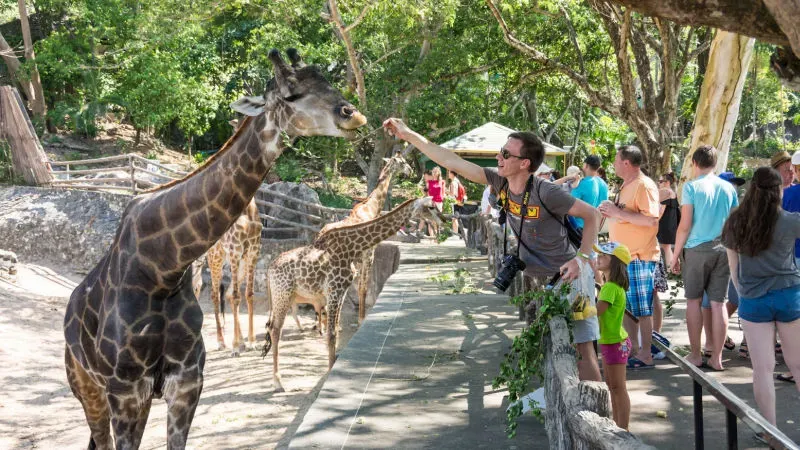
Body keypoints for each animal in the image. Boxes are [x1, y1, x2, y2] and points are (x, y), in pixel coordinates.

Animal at [64, 49, 368, 450]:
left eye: (327, 81)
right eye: (290, 93)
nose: (353, 115)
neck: (162, 268)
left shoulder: (186, 385)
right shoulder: (126, 392)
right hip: (88, 389)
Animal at [262, 196, 440, 390]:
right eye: (431, 207)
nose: (443, 220)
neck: (350, 246)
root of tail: (269, 269)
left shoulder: (341, 290)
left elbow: (335, 330)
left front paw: (332, 366)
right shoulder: (334, 289)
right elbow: (332, 334)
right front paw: (329, 373)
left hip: (286, 296)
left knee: (272, 327)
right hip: (283, 295)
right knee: (275, 329)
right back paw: (278, 382)